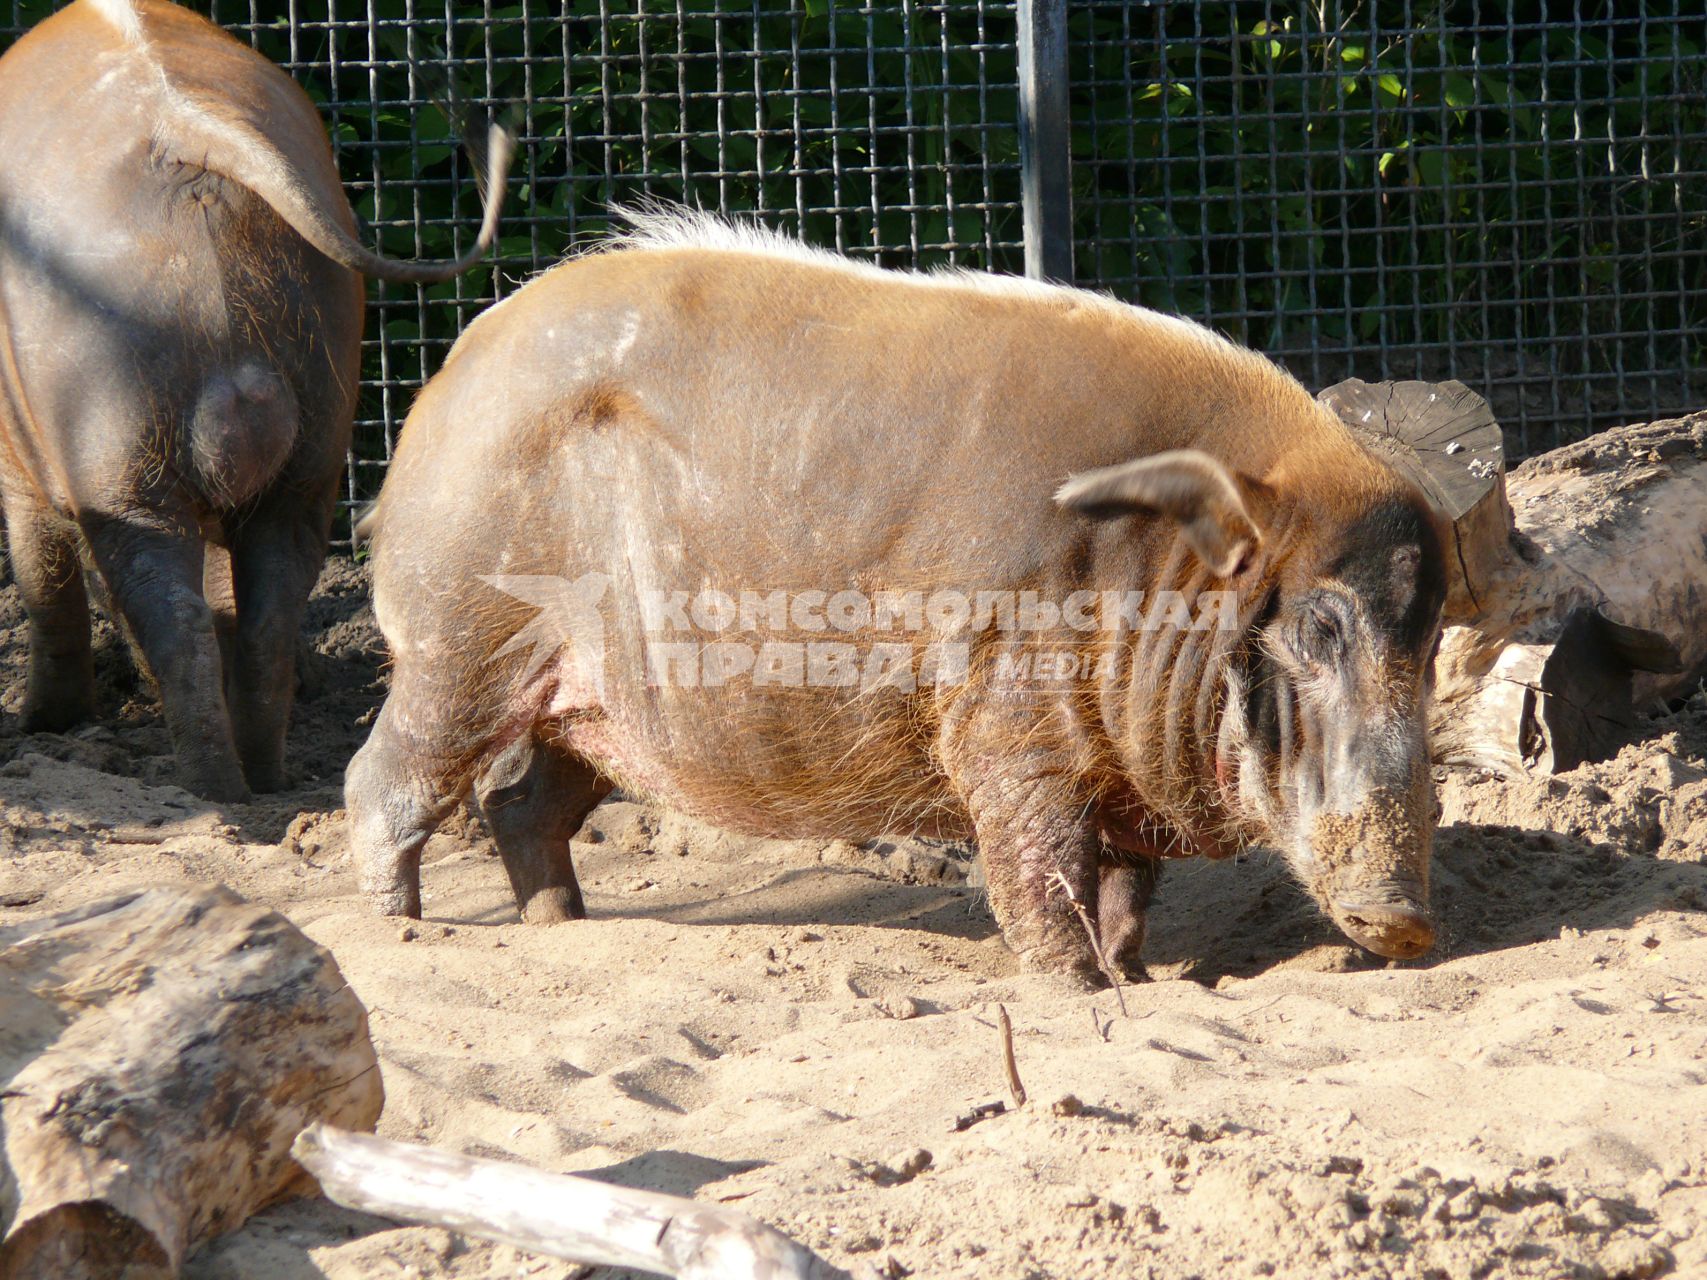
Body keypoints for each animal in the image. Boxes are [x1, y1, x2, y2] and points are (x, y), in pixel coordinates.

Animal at [0, 0, 508, 802]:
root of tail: (194, 134)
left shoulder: (18, 460)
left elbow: (42, 573)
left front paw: (45, 726)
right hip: (315, 424)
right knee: (270, 601)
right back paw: (267, 782)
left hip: (111, 434)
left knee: (167, 609)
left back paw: (211, 792)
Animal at [353, 210, 1447, 983]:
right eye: (1318, 625)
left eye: (1432, 640)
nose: (1410, 923)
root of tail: (449, 373)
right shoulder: (1005, 726)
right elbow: (1042, 870)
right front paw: (1080, 990)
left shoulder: (1117, 772)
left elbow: (1127, 889)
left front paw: (1136, 978)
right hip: (454, 640)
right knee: (386, 783)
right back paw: (397, 931)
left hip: (593, 708)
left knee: (520, 803)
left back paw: (563, 929)